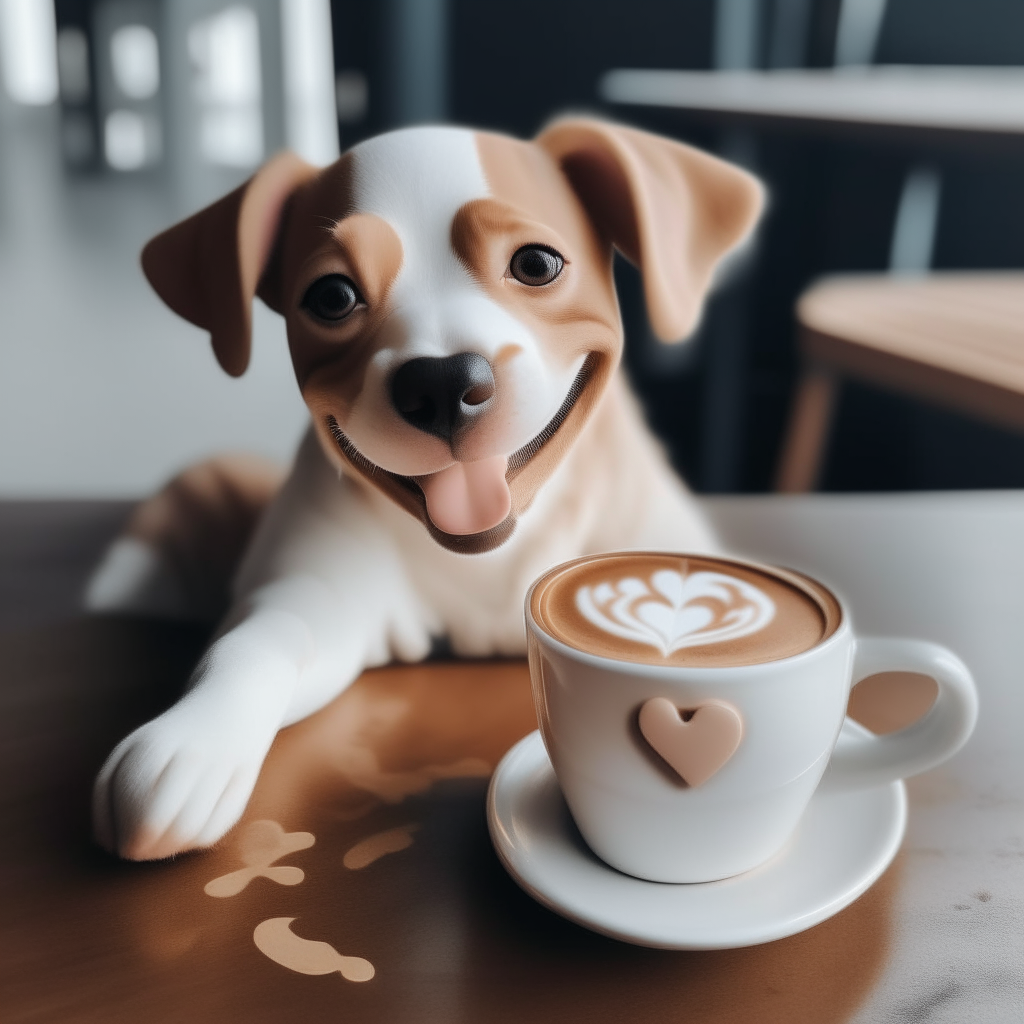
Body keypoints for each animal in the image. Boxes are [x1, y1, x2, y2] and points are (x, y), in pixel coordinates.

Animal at [88, 119, 761, 860]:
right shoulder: (316, 602)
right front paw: (194, 740)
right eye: (332, 297)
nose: (441, 382)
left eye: (536, 264)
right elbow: (257, 643)